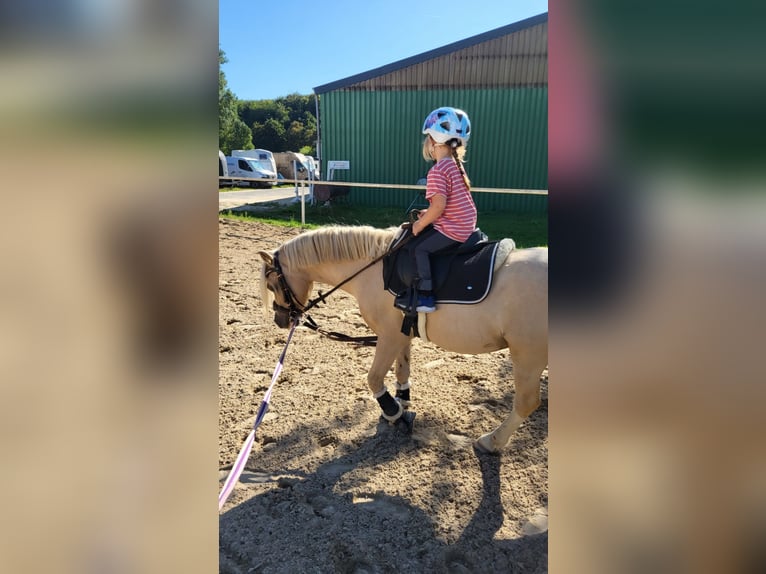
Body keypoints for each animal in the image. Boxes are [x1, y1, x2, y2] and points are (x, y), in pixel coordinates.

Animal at [258, 225, 548, 454]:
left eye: (273, 285)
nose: (280, 320)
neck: (373, 270)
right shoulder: (401, 335)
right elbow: (402, 370)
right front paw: (402, 401)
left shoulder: (388, 336)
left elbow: (374, 378)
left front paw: (394, 413)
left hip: (528, 356)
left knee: (527, 402)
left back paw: (492, 441)